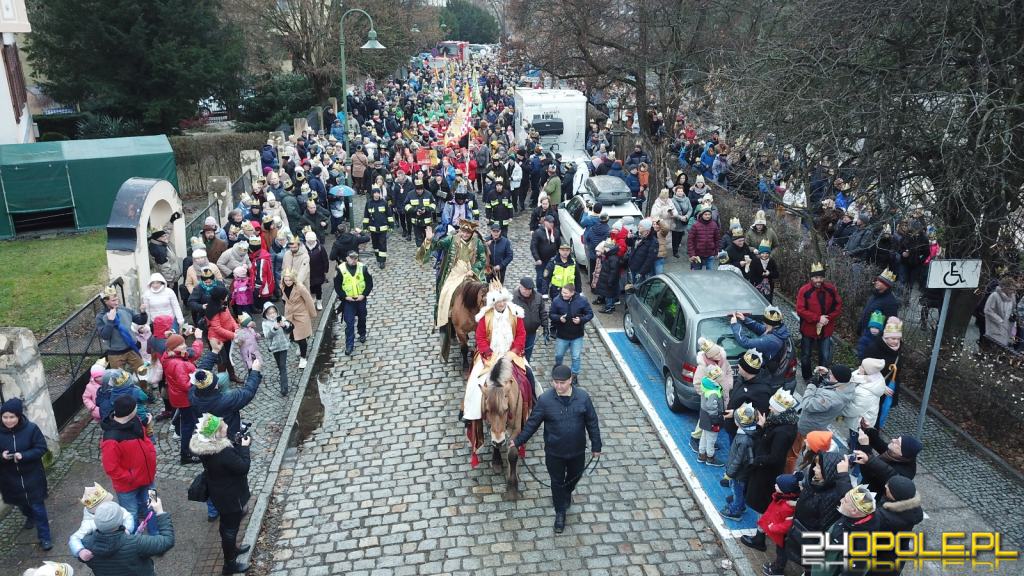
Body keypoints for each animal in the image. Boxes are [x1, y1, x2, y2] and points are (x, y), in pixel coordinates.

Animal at [481, 354, 528, 498]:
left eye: (506, 409)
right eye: (487, 410)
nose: (499, 441)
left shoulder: (516, 430)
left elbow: (512, 454)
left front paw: (512, 486)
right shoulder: (489, 426)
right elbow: (494, 443)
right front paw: (496, 461)